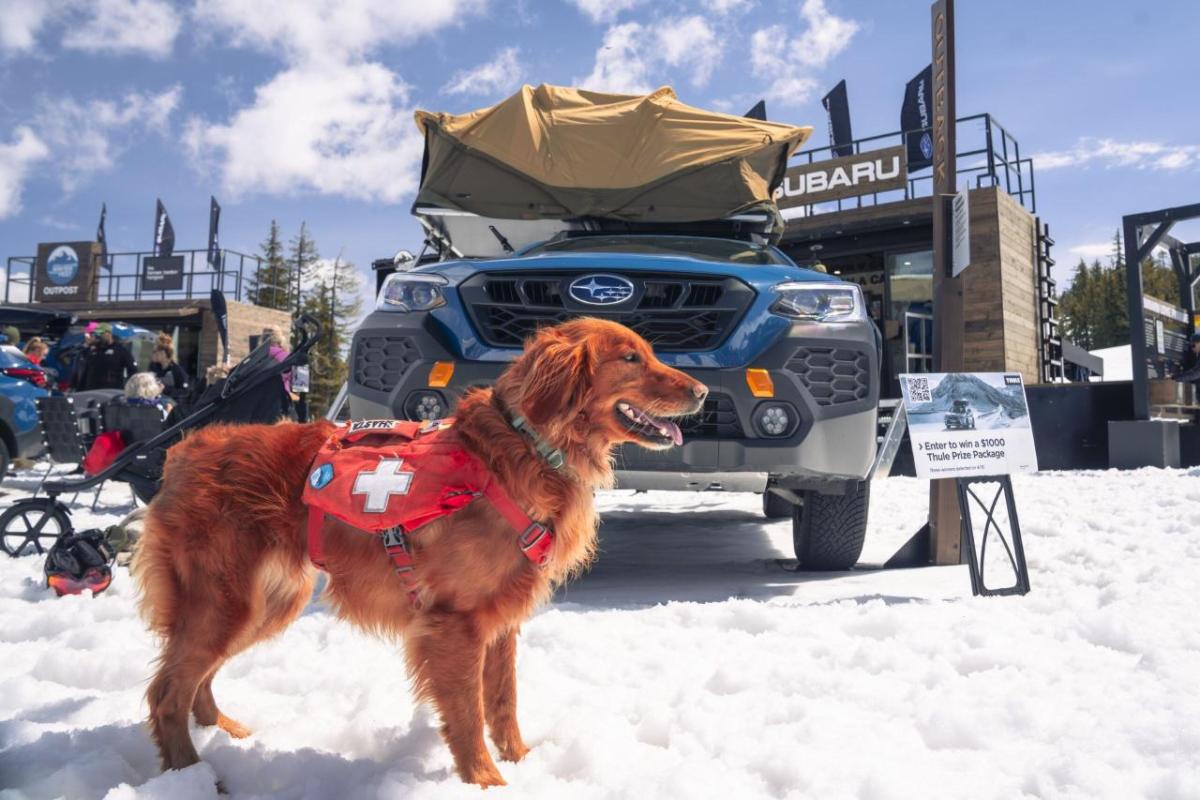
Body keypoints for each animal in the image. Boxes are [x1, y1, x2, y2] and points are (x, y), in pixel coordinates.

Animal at [136, 316, 705, 786]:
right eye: (630, 359)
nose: (701, 391)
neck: (528, 447)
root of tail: (182, 449)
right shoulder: (456, 623)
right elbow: (469, 713)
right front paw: (487, 782)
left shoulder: (502, 620)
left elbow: (504, 702)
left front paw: (523, 764)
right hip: (226, 603)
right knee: (166, 693)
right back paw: (194, 776)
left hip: (268, 602)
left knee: (196, 683)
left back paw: (224, 734)